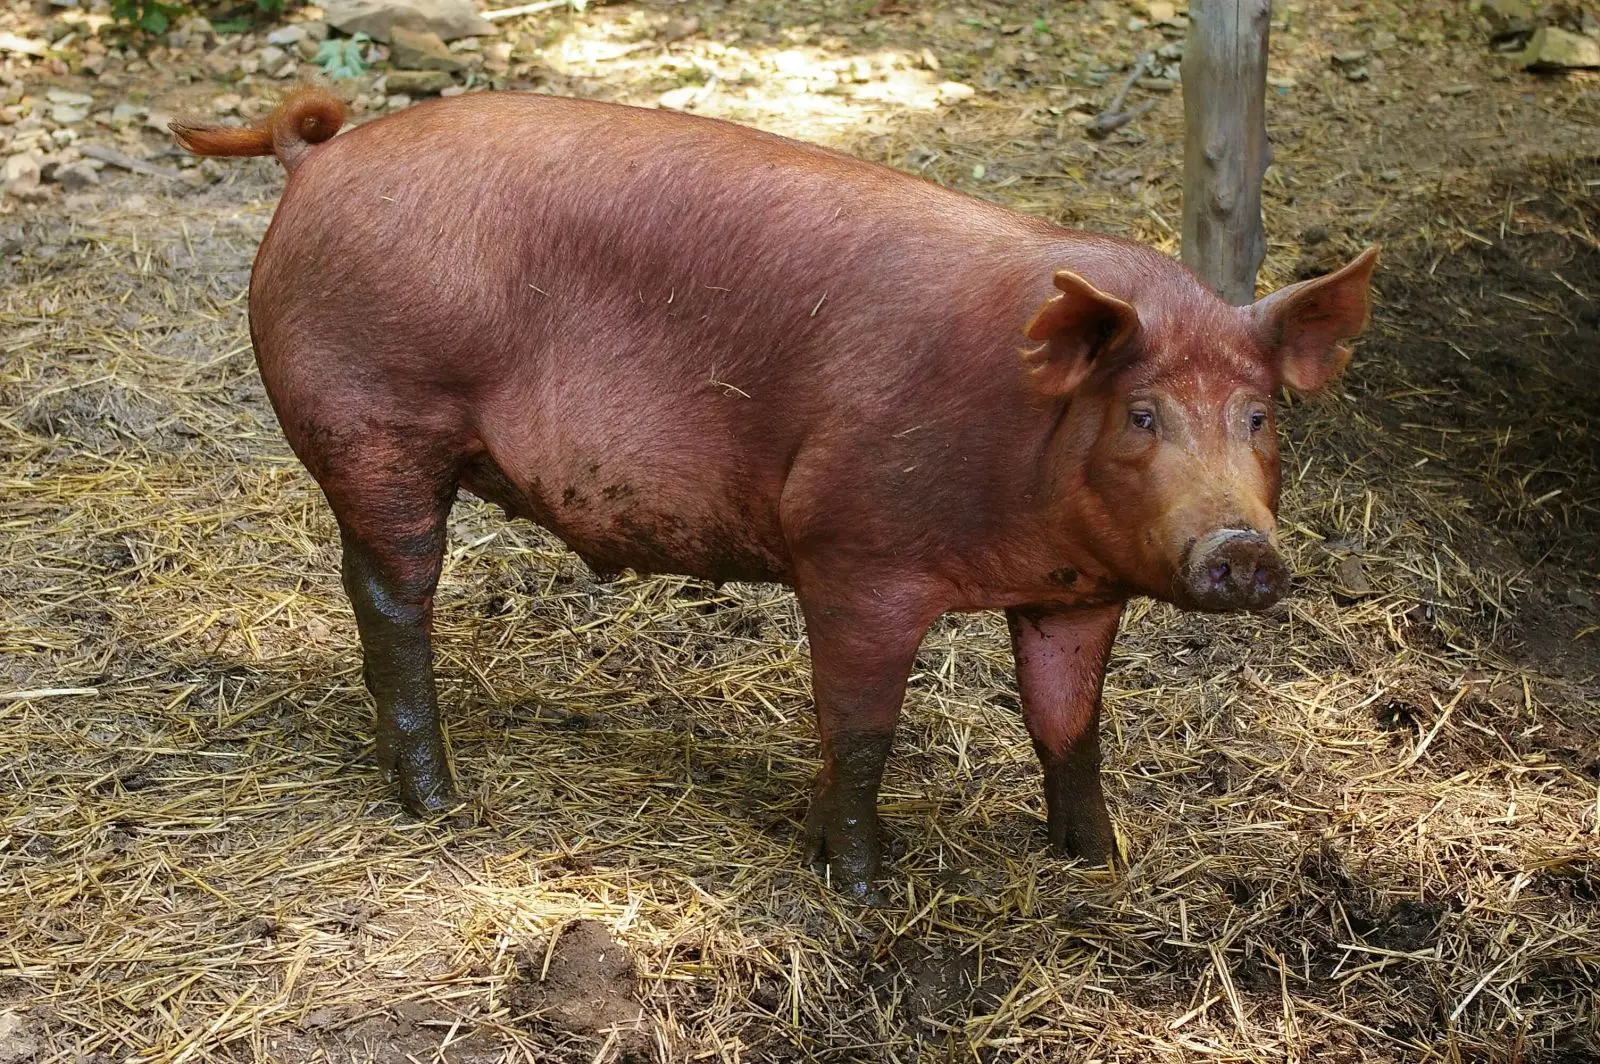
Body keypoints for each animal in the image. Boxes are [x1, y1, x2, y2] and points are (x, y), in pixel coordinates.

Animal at [173, 88, 1376, 904]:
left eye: (1260, 416)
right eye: (1141, 416)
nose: (1241, 547)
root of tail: (318, 156)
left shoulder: (1077, 593)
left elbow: (1068, 723)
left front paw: (1099, 861)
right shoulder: (853, 553)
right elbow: (861, 727)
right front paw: (862, 889)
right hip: (378, 423)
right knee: (392, 594)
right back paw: (438, 801)